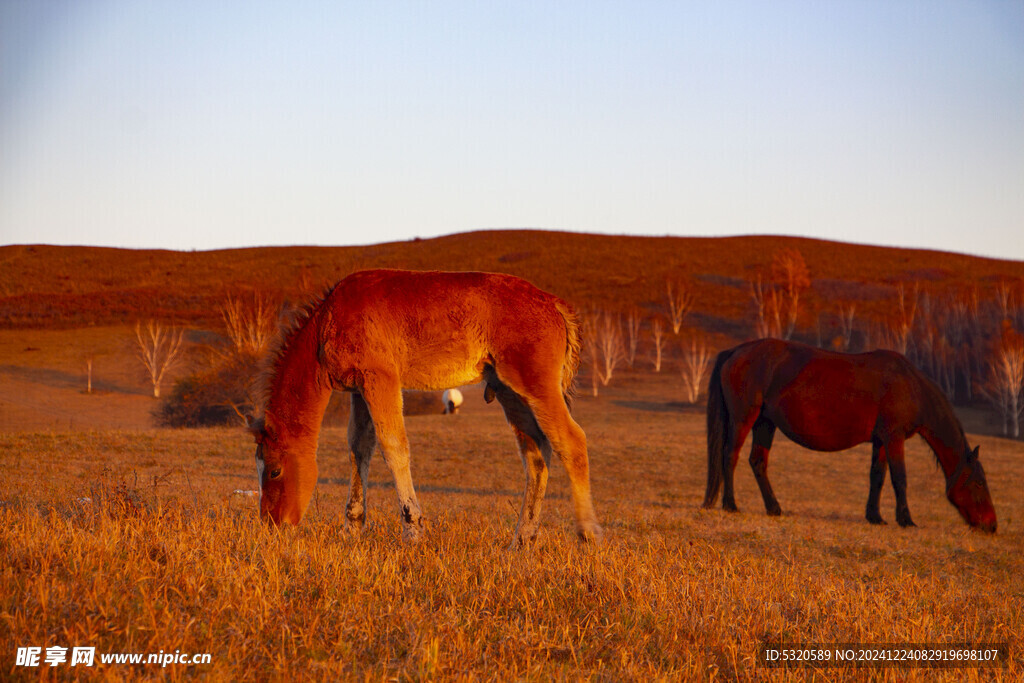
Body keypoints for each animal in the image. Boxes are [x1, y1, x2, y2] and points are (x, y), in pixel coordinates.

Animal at [247, 270, 598, 548]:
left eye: (275, 470)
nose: (272, 525)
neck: (327, 323)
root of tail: (554, 304)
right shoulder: (359, 390)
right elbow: (359, 448)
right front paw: (352, 528)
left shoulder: (381, 379)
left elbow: (394, 447)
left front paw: (413, 530)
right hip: (509, 391)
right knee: (536, 453)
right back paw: (522, 541)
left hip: (535, 384)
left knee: (572, 442)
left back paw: (587, 536)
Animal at [700, 339, 995, 532]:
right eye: (980, 483)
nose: (991, 525)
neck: (910, 386)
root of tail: (736, 351)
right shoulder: (894, 437)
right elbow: (899, 479)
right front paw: (906, 519)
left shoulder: (881, 441)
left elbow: (877, 477)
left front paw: (875, 516)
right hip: (743, 419)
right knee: (730, 456)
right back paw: (730, 504)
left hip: (765, 423)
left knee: (758, 462)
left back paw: (774, 508)